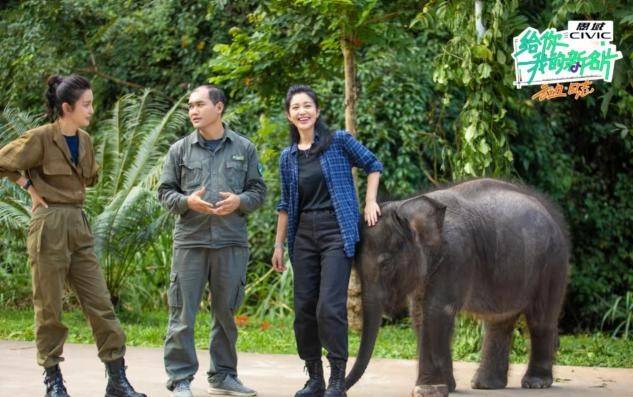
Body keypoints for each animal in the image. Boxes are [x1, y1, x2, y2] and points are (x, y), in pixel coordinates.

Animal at [346, 178, 568, 394]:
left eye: (386, 265)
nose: (343, 387)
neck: (407, 206)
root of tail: (550, 213)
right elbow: (419, 313)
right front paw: (443, 388)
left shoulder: (456, 256)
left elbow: (436, 310)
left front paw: (428, 389)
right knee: (499, 321)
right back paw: (485, 385)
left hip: (552, 263)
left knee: (540, 318)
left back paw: (535, 383)